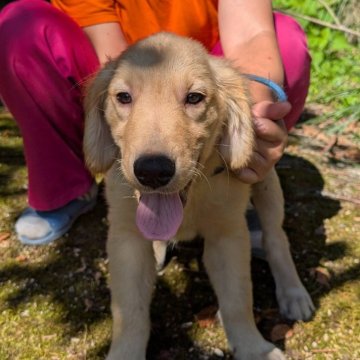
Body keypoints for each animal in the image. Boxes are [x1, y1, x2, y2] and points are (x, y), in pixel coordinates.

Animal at [83, 32, 312, 358]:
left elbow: (237, 301)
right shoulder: (125, 238)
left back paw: (293, 292)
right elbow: (129, 312)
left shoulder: (228, 235)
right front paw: (125, 352)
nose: (153, 171)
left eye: (194, 97)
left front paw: (254, 348)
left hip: (266, 181)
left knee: (276, 236)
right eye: (123, 97)